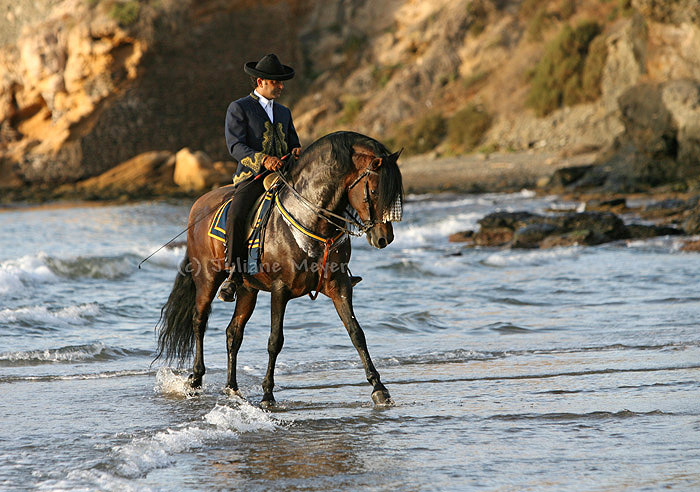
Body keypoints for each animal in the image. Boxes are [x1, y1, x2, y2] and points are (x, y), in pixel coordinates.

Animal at [155, 131, 402, 408]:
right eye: (374, 190)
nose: (384, 238)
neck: (312, 218)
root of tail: (198, 205)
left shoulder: (338, 285)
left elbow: (356, 332)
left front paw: (379, 388)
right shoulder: (280, 289)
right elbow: (275, 340)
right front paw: (267, 394)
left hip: (247, 290)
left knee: (233, 333)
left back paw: (232, 387)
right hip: (207, 279)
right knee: (199, 322)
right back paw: (196, 380)